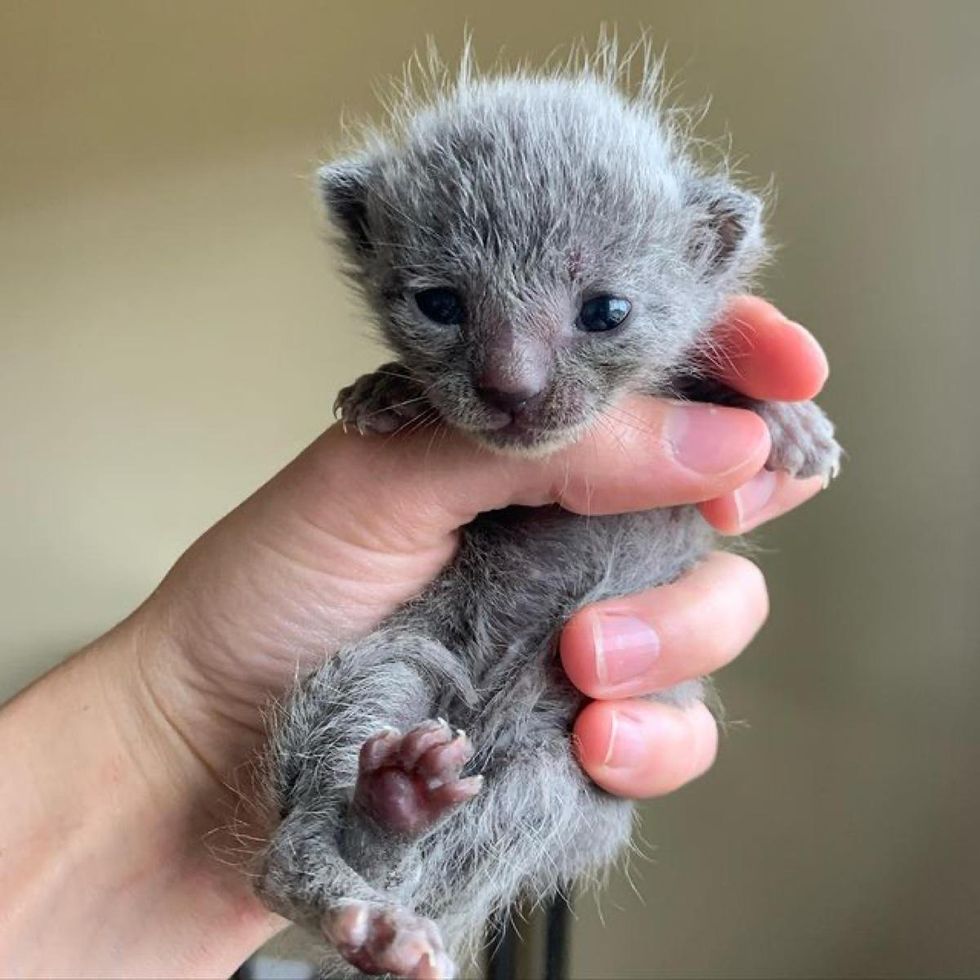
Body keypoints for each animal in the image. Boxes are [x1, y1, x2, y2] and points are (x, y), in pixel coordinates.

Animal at [255, 47, 844, 980]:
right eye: (440, 304)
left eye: (606, 311)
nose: (512, 390)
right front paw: (385, 388)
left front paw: (788, 420)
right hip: (388, 665)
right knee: (291, 849)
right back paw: (376, 849)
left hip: (555, 783)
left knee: (483, 836)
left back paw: (394, 842)